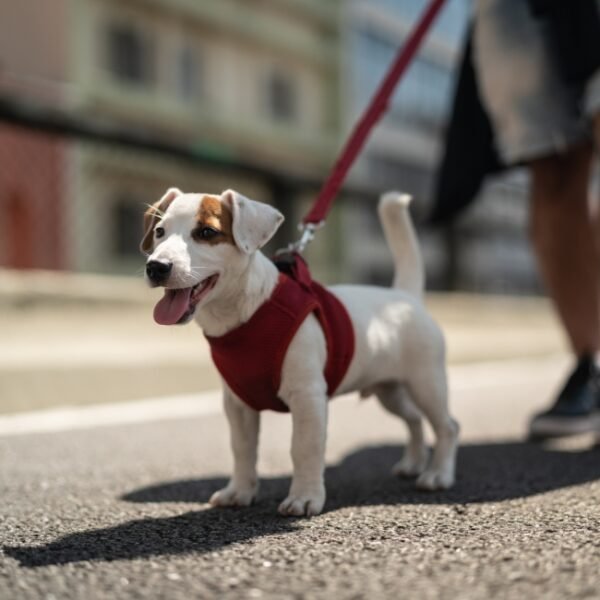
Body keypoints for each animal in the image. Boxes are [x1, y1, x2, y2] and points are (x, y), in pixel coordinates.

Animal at [141, 186, 460, 516]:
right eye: (159, 231)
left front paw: (305, 496)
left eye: (207, 232)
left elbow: (304, 448)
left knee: (447, 426)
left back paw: (438, 474)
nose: (156, 267)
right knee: (414, 420)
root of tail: (405, 296)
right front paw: (240, 491)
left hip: (426, 384)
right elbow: (242, 449)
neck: (248, 314)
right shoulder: (237, 404)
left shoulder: (308, 398)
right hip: (390, 391)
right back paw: (413, 463)